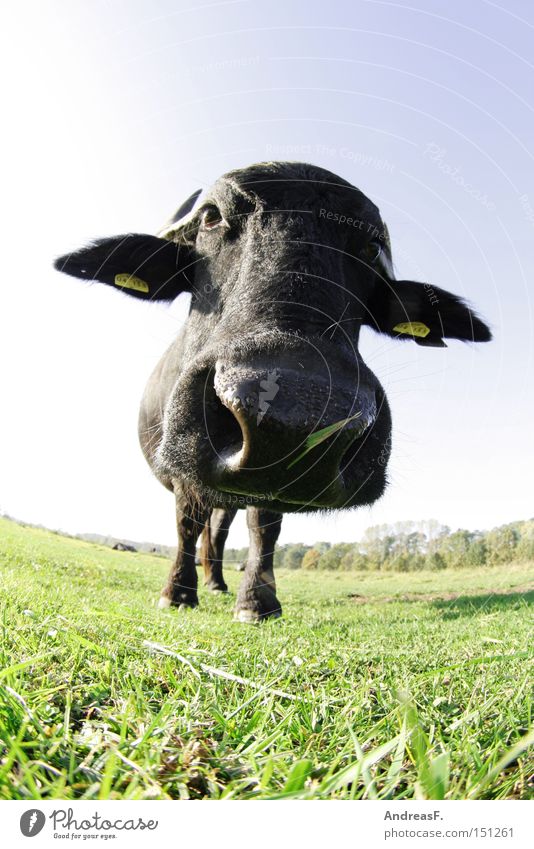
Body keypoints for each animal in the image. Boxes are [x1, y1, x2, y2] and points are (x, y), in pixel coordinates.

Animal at [56, 161, 492, 624]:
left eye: (372, 247)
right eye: (211, 216)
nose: (296, 415)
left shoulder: (275, 484)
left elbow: (263, 527)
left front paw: (256, 602)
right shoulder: (184, 468)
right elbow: (186, 522)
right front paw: (176, 593)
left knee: (221, 527)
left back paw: (217, 581)